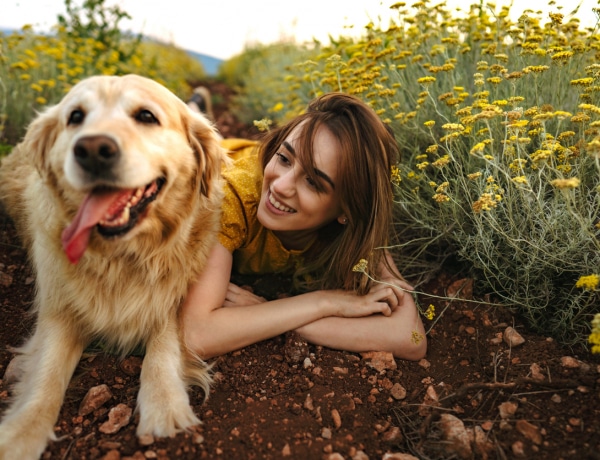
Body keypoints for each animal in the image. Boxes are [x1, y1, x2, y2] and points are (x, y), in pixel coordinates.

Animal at [0, 73, 227, 458]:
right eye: (75, 117)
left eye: (146, 116)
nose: (92, 149)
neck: (120, 256)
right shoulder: (59, 309)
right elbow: (46, 373)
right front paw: (19, 434)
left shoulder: (172, 299)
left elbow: (163, 348)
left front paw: (164, 406)